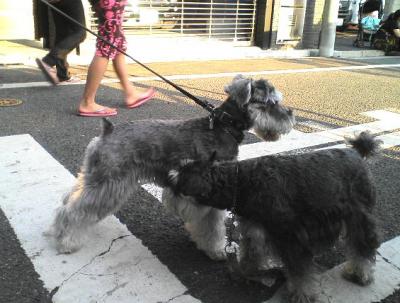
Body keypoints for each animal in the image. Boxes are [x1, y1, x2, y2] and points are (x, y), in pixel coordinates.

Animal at [47, 74, 296, 258]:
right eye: (272, 102)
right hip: (109, 184)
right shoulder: (212, 190)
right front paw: (216, 250)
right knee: (75, 210)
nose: (291, 116)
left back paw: (57, 231)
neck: (224, 127)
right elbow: (214, 226)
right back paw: (66, 241)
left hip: (93, 176)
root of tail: (107, 131)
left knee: (69, 199)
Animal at [165, 132, 382, 302]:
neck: (241, 183)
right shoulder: (256, 229)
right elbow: (251, 253)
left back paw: (360, 273)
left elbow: (300, 272)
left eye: (176, 184)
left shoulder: (292, 238)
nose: (165, 198)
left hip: (359, 217)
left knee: (363, 247)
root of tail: (357, 154)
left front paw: (302, 295)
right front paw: (248, 271)